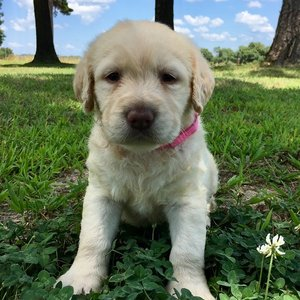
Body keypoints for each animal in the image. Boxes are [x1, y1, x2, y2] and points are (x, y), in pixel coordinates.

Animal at [58, 21, 218, 300]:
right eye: (113, 76)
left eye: (169, 78)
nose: (140, 116)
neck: (144, 155)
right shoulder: (101, 194)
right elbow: (92, 239)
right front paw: (80, 278)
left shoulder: (187, 201)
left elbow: (186, 252)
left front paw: (190, 289)